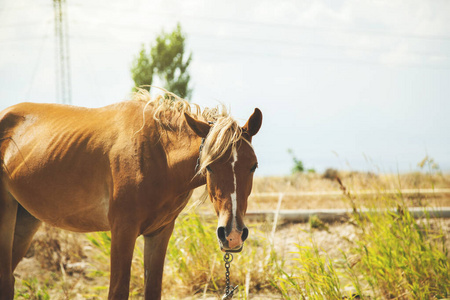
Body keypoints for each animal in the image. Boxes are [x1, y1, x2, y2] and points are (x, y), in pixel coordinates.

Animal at [0, 90, 260, 298]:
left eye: (253, 166)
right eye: (209, 166)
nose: (232, 235)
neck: (158, 154)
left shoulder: (159, 233)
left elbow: (152, 290)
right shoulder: (123, 231)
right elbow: (118, 291)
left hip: (26, 220)